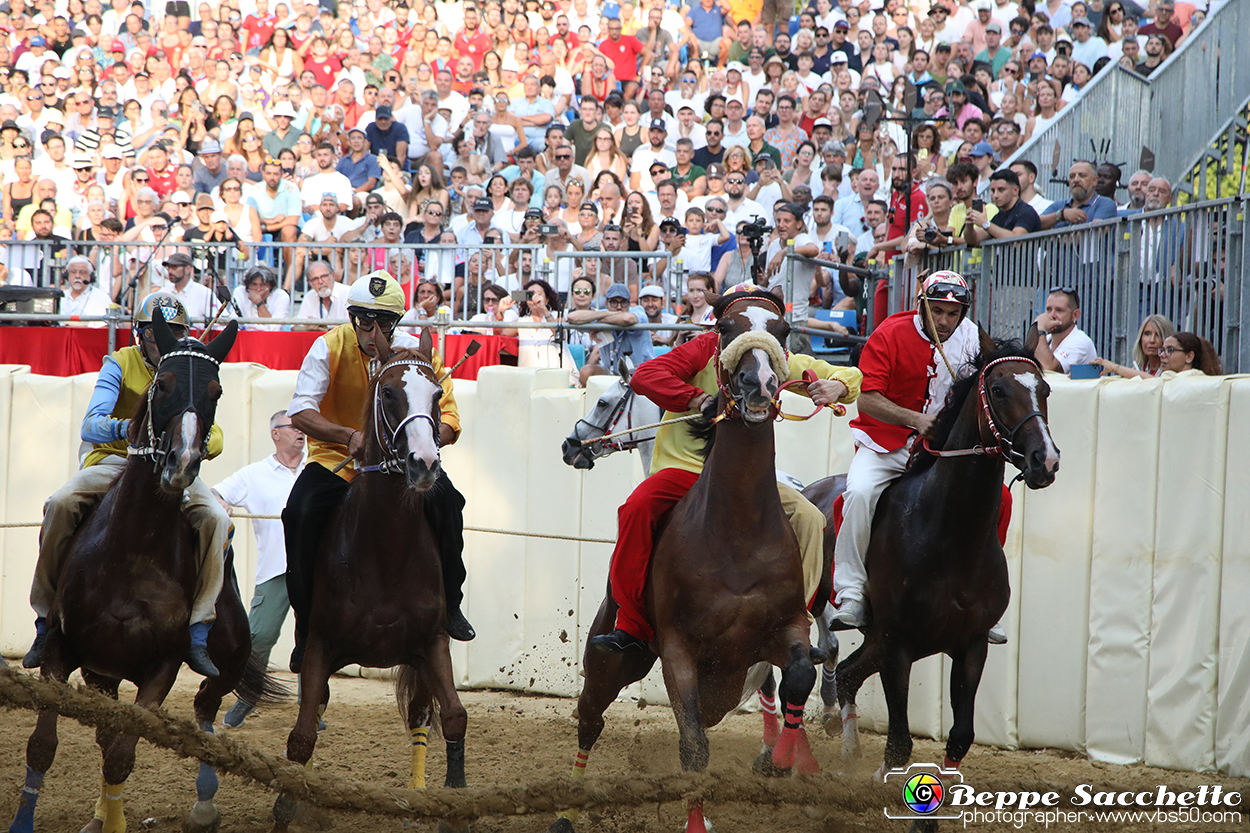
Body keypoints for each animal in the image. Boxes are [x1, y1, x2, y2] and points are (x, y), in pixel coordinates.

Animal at [835, 340, 1060, 805]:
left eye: (1044, 389)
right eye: (997, 390)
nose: (1044, 460)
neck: (947, 537)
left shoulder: (970, 644)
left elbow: (960, 735)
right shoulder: (898, 643)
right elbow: (899, 743)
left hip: (879, 641)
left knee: (844, 675)